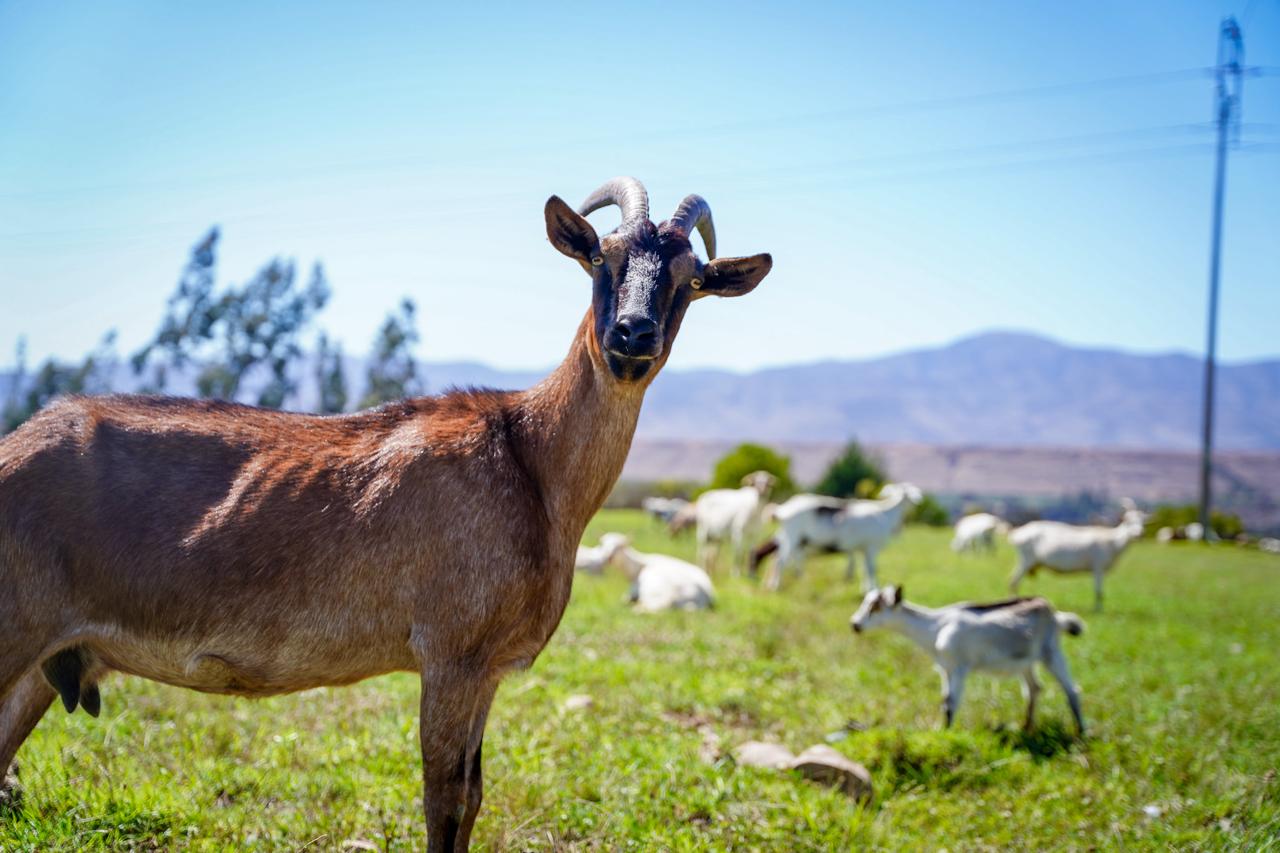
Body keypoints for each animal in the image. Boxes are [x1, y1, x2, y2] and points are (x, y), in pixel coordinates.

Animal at [0, 175, 768, 845]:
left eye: (691, 278)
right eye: (601, 257)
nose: (632, 336)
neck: (530, 461)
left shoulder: (485, 670)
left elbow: (474, 795)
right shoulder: (450, 654)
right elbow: (446, 799)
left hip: (45, 661)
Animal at [747, 481, 921, 589]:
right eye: (906, 492)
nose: (917, 501)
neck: (886, 514)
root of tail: (783, 509)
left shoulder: (862, 549)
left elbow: (865, 569)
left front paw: (866, 590)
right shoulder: (872, 547)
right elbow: (871, 569)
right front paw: (873, 590)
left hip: (792, 539)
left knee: (778, 559)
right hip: (792, 536)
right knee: (780, 561)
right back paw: (775, 586)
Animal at [855, 584, 1085, 732]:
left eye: (876, 607)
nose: (855, 624)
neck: (935, 626)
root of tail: (1055, 614)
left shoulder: (960, 667)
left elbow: (951, 702)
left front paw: (946, 734)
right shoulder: (946, 668)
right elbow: (944, 700)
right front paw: (941, 730)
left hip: (1051, 650)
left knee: (1071, 689)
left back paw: (1081, 731)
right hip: (1025, 661)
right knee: (1033, 688)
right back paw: (1026, 728)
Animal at [1008, 504, 1152, 612]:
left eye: (1143, 522)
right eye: (1129, 521)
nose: (1139, 533)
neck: (1113, 542)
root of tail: (1017, 534)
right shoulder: (1098, 567)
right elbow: (1099, 591)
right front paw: (1098, 610)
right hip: (1026, 559)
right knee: (1014, 581)